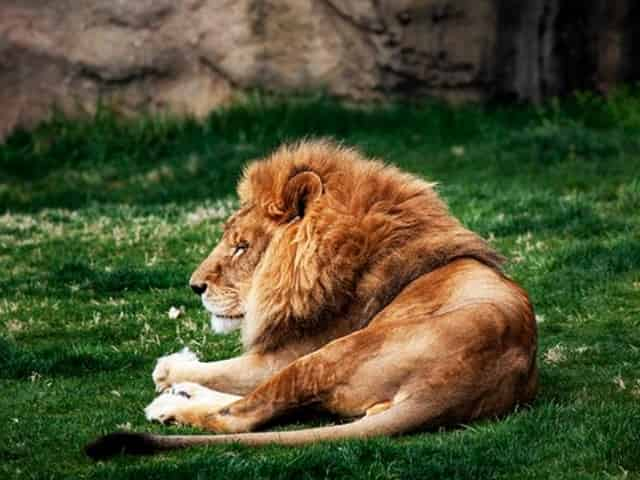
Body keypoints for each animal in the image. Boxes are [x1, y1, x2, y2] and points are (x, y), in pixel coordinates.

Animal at [85, 141, 536, 460]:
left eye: (241, 247)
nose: (195, 287)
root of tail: (447, 387)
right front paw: (180, 370)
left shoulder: (290, 350)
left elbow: (231, 371)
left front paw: (171, 370)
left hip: (327, 355)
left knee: (244, 416)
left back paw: (170, 406)